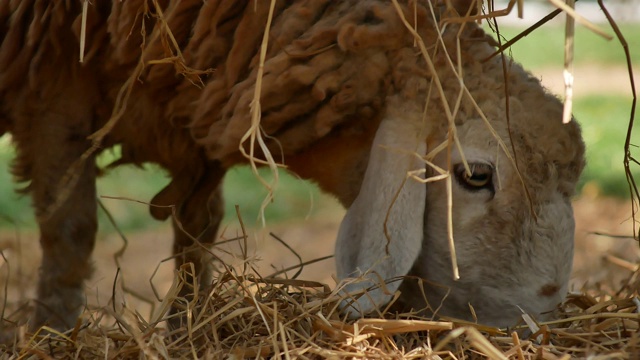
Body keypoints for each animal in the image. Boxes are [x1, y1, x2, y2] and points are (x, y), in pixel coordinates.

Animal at [0, 0, 584, 332]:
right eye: (476, 176)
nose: (540, 316)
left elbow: (197, 234)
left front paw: (187, 327)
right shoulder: (52, 84)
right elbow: (71, 234)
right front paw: (54, 333)